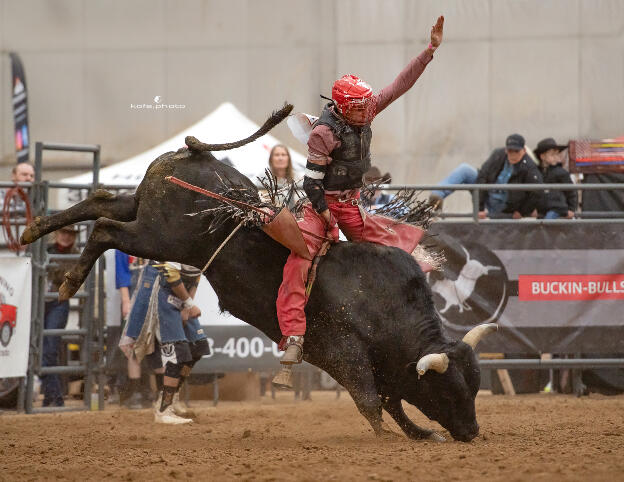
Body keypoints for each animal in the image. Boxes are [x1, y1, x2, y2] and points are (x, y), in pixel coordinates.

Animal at [21, 104, 497, 442]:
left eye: (475, 386)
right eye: (449, 389)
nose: (472, 432)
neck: (383, 305)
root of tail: (193, 153)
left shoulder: (384, 367)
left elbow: (392, 401)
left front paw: (421, 433)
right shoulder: (343, 352)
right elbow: (371, 400)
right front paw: (388, 437)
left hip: (142, 211)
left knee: (100, 202)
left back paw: (33, 229)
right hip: (156, 236)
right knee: (104, 229)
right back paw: (67, 281)